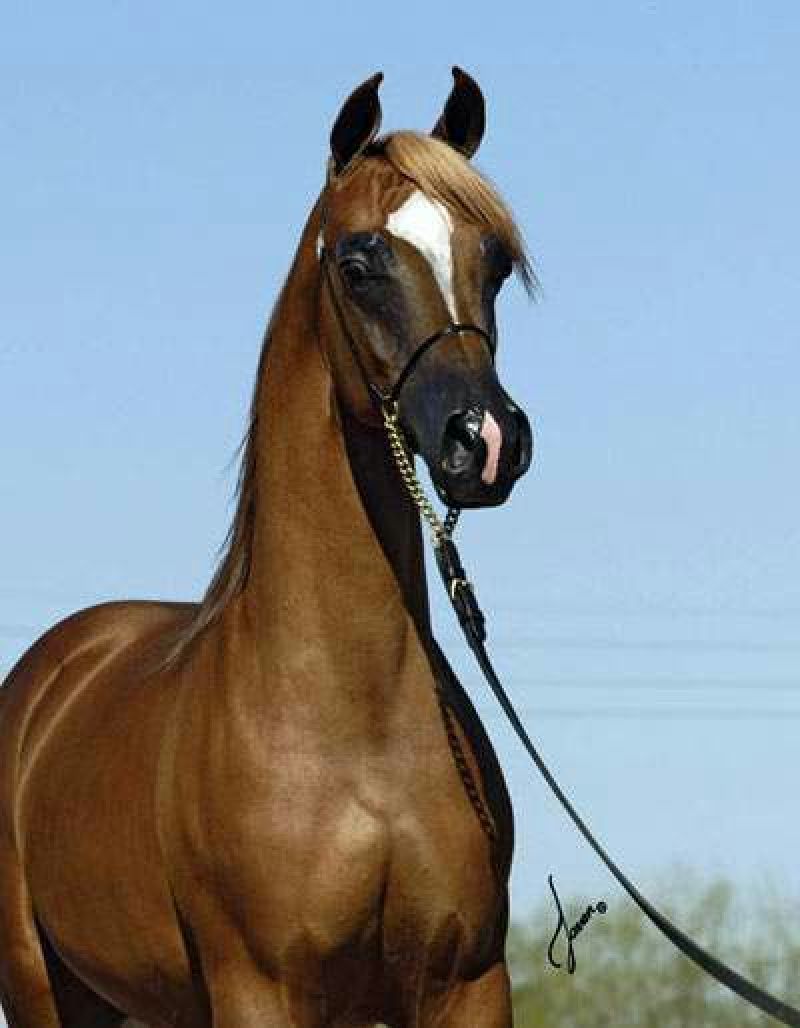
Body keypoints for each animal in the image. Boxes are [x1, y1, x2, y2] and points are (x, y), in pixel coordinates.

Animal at [0, 68, 534, 1027]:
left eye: (494, 262)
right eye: (357, 264)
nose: (486, 439)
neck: (355, 723)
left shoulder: (467, 984)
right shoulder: (262, 987)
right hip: (41, 987)